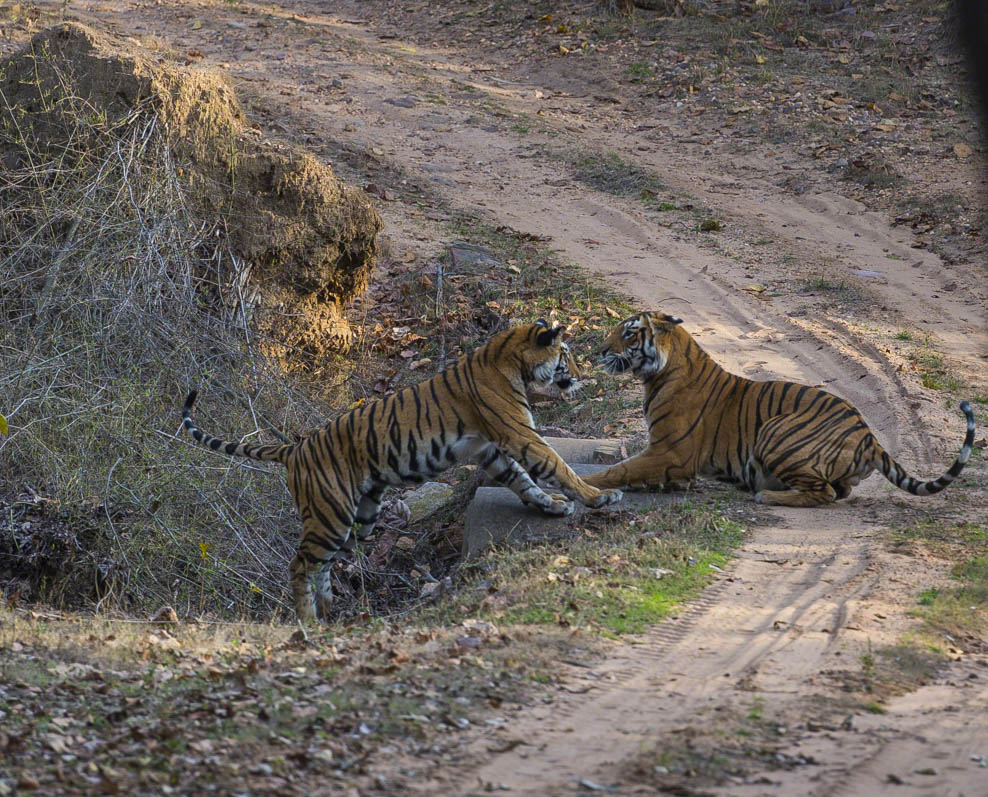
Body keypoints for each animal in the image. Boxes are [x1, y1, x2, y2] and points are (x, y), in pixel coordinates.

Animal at [181, 320, 622, 622]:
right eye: (566, 355)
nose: (582, 375)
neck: (511, 360)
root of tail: (295, 447)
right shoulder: (519, 435)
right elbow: (556, 466)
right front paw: (598, 497)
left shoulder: (491, 451)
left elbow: (525, 482)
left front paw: (552, 506)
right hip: (330, 513)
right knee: (300, 564)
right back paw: (308, 620)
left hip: (358, 518)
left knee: (321, 563)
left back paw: (327, 610)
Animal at [583, 311, 975, 508]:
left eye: (629, 334)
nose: (599, 351)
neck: (658, 373)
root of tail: (869, 437)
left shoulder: (669, 452)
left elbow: (618, 469)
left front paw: (588, 484)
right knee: (840, 491)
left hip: (775, 431)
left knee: (825, 493)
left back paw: (766, 495)